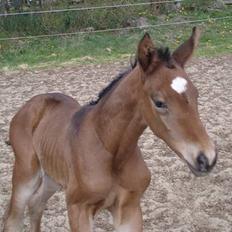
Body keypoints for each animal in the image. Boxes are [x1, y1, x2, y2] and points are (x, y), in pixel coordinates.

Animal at [3, 27, 218, 232]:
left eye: (196, 94)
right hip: (25, 174)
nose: (206, 159)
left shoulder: (129, 208)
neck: (110, 150)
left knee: (36, 204)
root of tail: (32, 103)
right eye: (159, 102)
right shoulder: (78, 208)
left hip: (52, 176)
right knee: (14, 217)